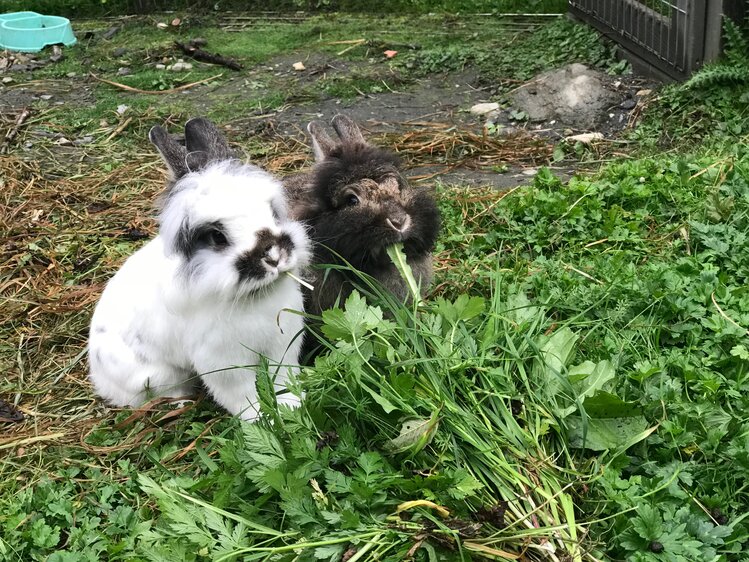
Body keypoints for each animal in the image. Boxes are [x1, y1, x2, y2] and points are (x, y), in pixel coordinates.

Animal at [87, 116, 310, 418]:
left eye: (273, 213)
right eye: (217, 236)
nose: (274, 257)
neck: (255, 296)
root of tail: (98, 376)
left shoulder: (282, 345)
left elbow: (283, 380)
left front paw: (293, 407)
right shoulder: (223, 364)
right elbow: (242, 396)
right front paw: (261, 420)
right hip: (157, 376)